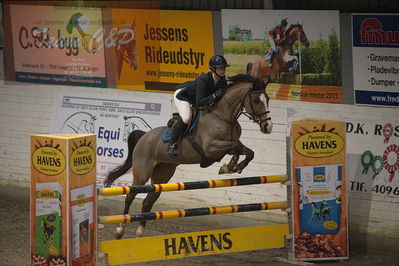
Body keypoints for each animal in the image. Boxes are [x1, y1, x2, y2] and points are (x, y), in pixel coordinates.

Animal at [103, 74, 274, 239]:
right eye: (256, 100)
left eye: (268, 99)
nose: (268, 127)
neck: (223, 117)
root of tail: (144, 137)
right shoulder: (211, 148)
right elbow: (237, 147)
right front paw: (230, 167)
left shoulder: (224, 148)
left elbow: (246, 151)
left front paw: (232, 167)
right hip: (142, 174)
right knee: (130, 196)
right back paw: (120, 230)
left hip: (162, 175)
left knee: (147, 201)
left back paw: (140, 231)